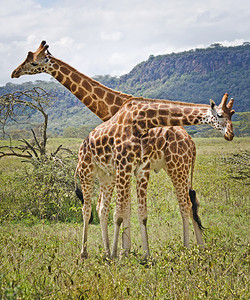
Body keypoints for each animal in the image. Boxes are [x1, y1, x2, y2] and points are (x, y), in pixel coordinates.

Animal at [75, 94, 234, 258]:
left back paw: (105, 252)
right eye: (220, 115)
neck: (141, 121)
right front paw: (119, 254)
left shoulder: (140, 167)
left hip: (107, 176)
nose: (230, 134)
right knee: (87, 209)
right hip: (86, 170)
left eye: (232, 114)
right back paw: (85, 253)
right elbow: (119, 214)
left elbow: (139, 213)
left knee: (101, 208)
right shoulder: (124, 165)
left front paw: (142, 255)